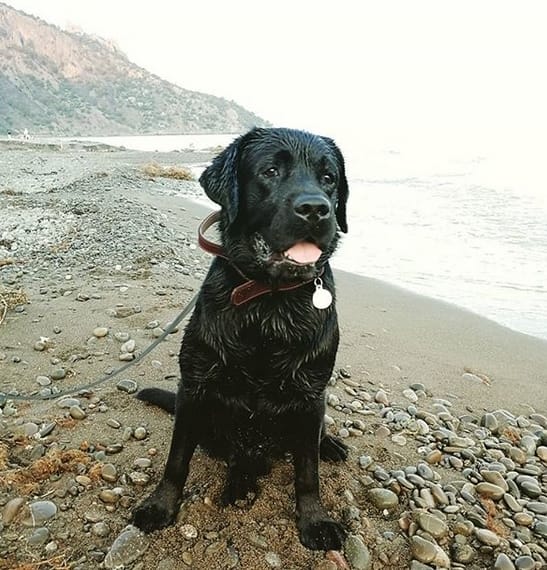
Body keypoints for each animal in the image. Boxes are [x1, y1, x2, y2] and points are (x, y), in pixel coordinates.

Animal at [132, 127, 350, 550]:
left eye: (328, 178)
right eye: (270, 171)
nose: (316, 209)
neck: (269, 303)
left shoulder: (310, 393)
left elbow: (308, 472)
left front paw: (315, 520)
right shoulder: (195, 386)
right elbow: (176, 460)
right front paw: (160, 506)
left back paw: (328, 444)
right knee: (237, 454)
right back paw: (239, 484)